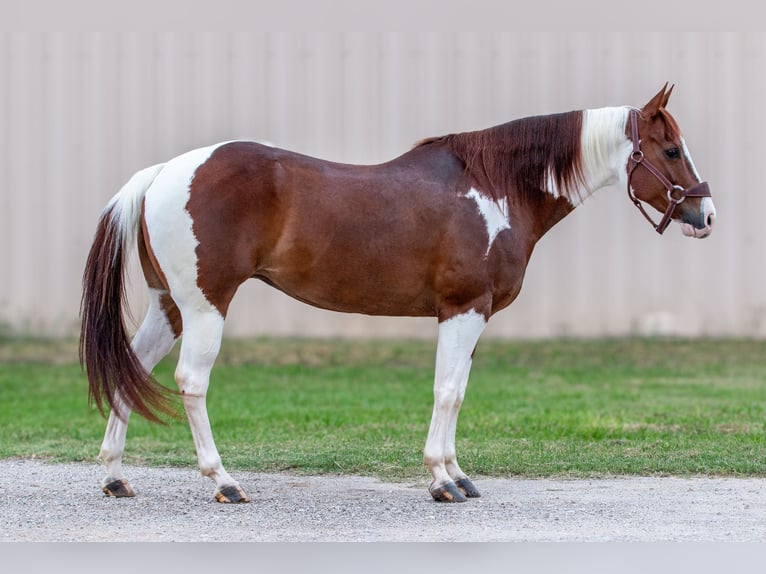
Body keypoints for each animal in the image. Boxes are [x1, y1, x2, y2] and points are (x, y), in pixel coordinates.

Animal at [81, 83, 716, 506]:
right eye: (671, 150)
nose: (706, 215)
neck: (494, 188)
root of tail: (164, 172)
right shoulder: (462, 310)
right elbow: (446, 392)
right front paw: (441, 480)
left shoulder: (473, 318)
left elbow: (456, 393)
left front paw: (458, 475)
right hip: (205, 306)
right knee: (191, 382)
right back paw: (225, 482)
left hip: (170, 306)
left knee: (132, 366)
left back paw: (114, 476)